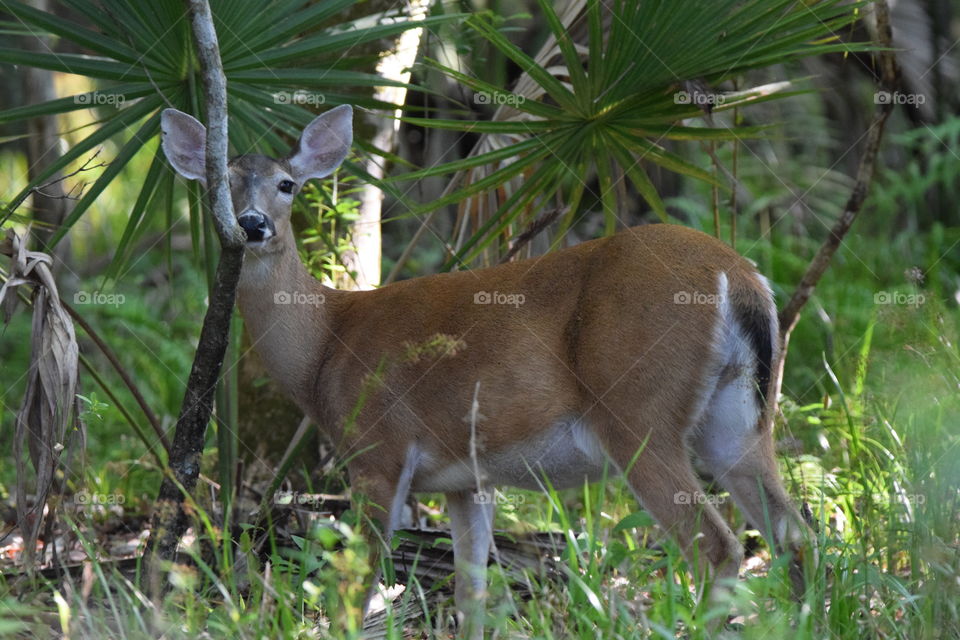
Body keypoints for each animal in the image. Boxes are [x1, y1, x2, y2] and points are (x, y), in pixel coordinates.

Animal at [160, 104, 811, 636]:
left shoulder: (379, 451)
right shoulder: (465, 479)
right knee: (792, 531)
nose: (252, 224)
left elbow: (358, 586)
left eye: (287, 185)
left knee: (718, 547)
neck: (325, 344)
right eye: (219, 186)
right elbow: (472, 593)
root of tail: (741, 276)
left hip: (637, 412)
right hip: (738, 416)